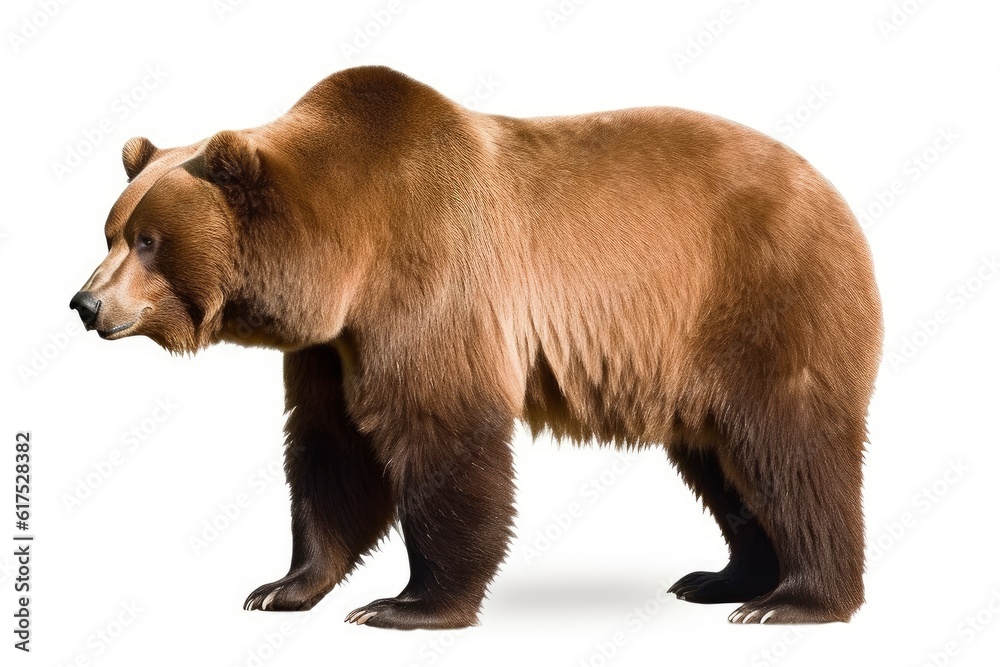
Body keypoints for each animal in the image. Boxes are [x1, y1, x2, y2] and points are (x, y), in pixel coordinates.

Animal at [69, 65, 882, 629]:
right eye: (111, 231)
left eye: (149, 240)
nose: (85, 305)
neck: (344, 252)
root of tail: (835, 196)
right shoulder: (333, 346)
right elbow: (330, 451)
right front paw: (280, 587)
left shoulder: (428, 278)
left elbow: (443, 436)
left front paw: (406, 604)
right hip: (691, 357)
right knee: (723, 462)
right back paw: (725, 579)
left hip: (760, 297)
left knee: (788, 447)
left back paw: (796, 599)